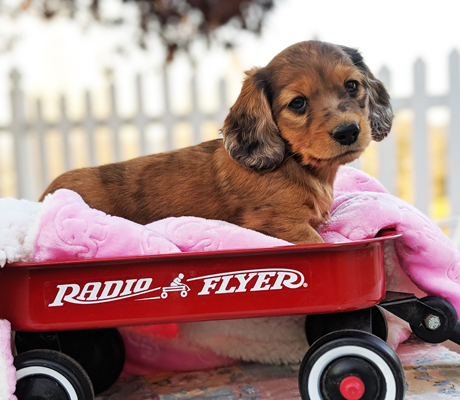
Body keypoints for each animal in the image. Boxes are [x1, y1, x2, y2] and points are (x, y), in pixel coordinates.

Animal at [40, 42, 392, 245]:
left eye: (352, 85)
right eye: (298, 103)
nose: (347, 131)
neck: (293, 164)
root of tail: (46, 195)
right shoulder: (281, 223)